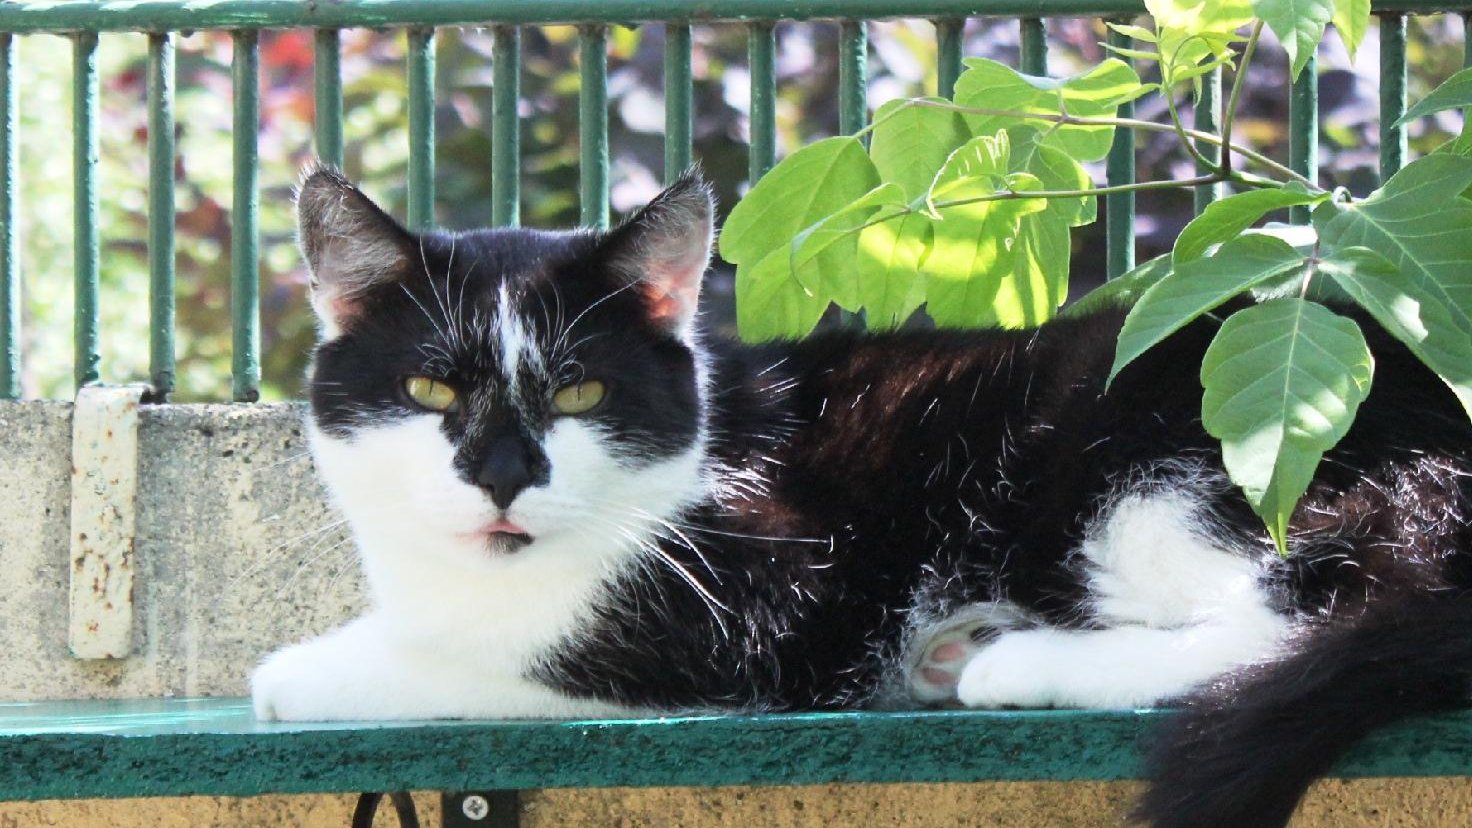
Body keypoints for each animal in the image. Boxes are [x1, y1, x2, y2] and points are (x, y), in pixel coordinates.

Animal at [250, 167, 1472, 825]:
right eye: (429, 388)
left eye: (580, 389)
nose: (503, 474)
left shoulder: (756, 603)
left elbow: (502, 653)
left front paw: (306, 668)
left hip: (1184, 440)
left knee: (1304, 612)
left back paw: (1009, 662)